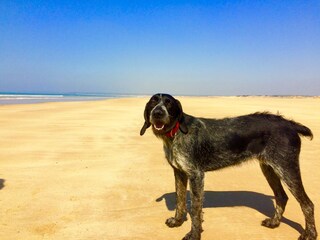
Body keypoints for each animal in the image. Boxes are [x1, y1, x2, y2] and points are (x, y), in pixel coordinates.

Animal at [140, 93, 318, 240]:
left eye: (168, 104)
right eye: (153, 102)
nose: (157, 113)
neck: (176, 132)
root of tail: (290, 124)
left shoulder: (196, 175)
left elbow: (195, 208)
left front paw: (194, 234)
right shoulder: (179, 173)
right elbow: (180, 200)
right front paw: (177, 221)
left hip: (287, 168)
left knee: (307, 204)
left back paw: (310, 234)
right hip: (269, 169)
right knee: (281, 197)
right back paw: (274, 223)